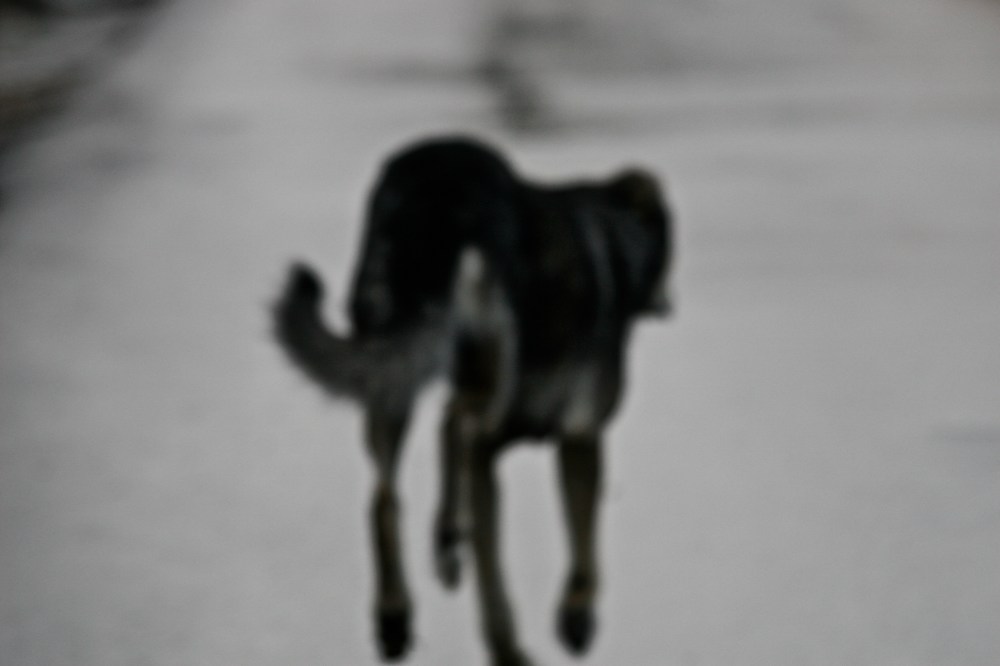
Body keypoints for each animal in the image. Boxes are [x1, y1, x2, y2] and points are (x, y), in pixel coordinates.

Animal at [273, 136, 672, 666]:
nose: (669, 303)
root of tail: (437, 199)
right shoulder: (581, 434)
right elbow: (581, 542)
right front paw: (576, 615)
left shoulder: (491, 438)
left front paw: (448, 541)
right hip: (470, 372)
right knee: (450, 453)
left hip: (390, 376)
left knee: (386, 496)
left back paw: (397, 612)